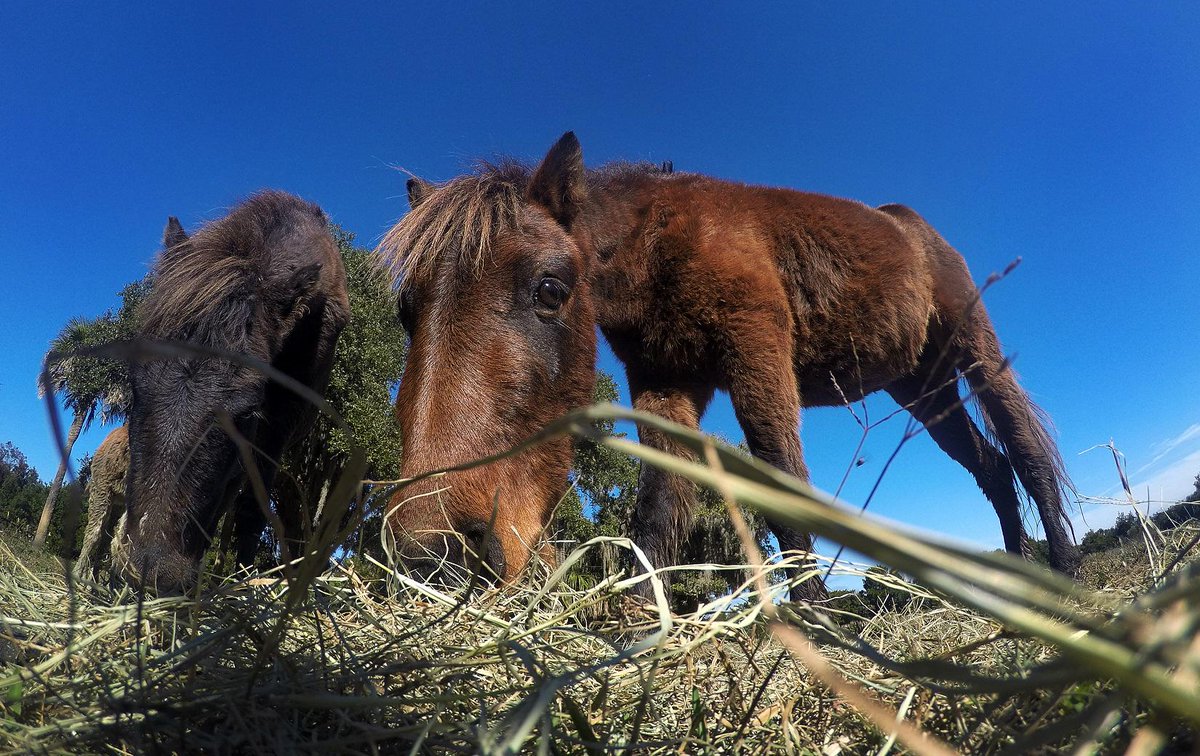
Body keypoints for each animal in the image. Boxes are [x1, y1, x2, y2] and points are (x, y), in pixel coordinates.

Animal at [111, 192, 350, 592]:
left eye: (248, 411)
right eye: (132, 382)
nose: (149, 569)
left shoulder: (277, 425)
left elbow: (253, 507)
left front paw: (246, 583)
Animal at [379, 132, 1080, 600]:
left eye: (550, 290)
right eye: (405, 311)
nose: (429, 551)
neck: (664, 242)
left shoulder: (756, 357)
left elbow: (783, 487)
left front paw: (816, 629)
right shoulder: (665, 384)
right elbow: (658, 507)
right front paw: (640, 628)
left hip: (975, 352)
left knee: (1025, 452)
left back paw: (1067, 582)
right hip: (923, 390)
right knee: (992, 469)